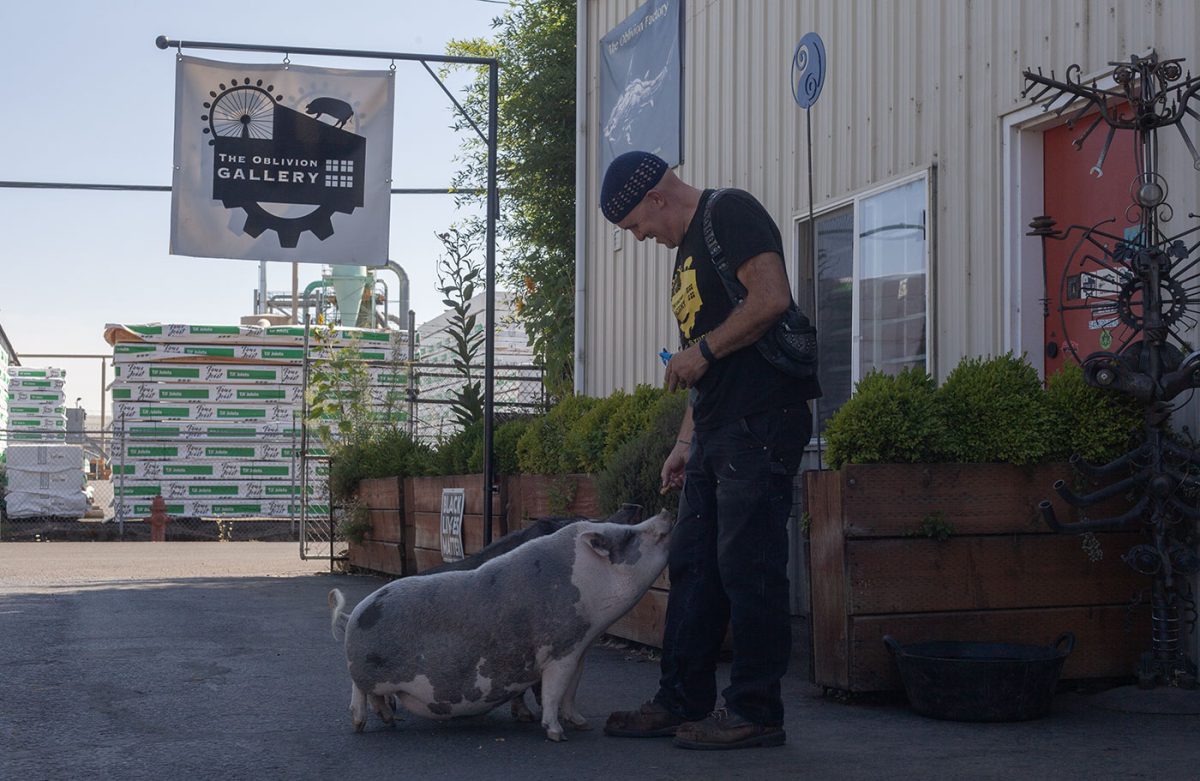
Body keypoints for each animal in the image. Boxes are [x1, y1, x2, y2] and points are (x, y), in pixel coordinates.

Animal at [328, 511, 672, 743]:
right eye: (628, 537)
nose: (666, 513)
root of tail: (355, 614)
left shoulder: (579, 650)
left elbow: (571, 692)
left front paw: (583, 724)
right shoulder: (560, 651)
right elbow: (553, 691)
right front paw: (556, 734)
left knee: (375, 697)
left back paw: (390, 720)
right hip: (366, 671)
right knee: (358, 691)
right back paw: (361, 725)